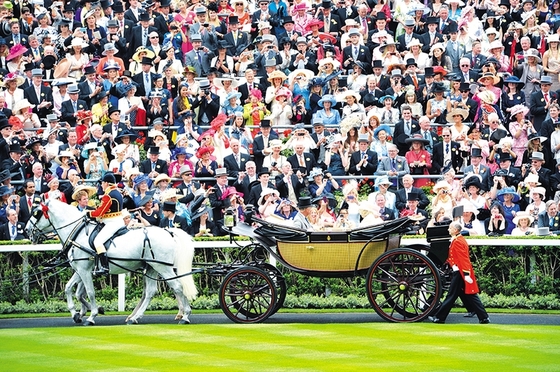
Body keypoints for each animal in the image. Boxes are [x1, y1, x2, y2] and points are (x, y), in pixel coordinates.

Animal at [28, 199, 200, 324]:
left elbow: (89, 292)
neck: (78, 234)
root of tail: (167, 230)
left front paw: (92, 316)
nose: (27, 230)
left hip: (163, 268)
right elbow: (69, 289)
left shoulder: (84, 270)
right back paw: (135, 318)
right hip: (152, 267)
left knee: (177, 287)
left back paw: (185, 316)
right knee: (151, 292)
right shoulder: (80, 269)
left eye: (36, 213)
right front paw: (76, 314)